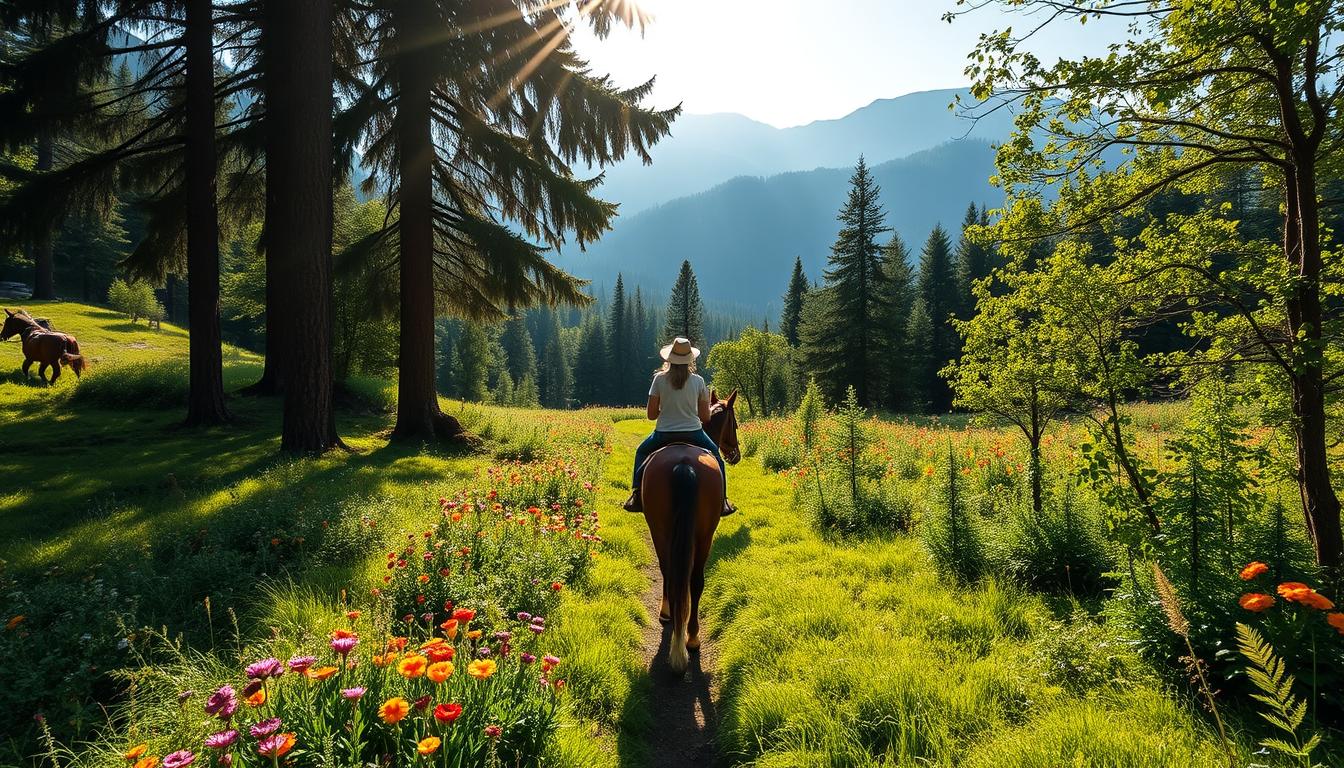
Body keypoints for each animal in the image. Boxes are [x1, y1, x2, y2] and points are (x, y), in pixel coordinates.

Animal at [641, 389, 741, 674]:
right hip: (702, 532)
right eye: (736, 424)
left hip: (664, 528)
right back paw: (690, 638)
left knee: (676, 573)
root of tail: (685, 463)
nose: (736, 454)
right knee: (691, 579)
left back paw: (683, 633)